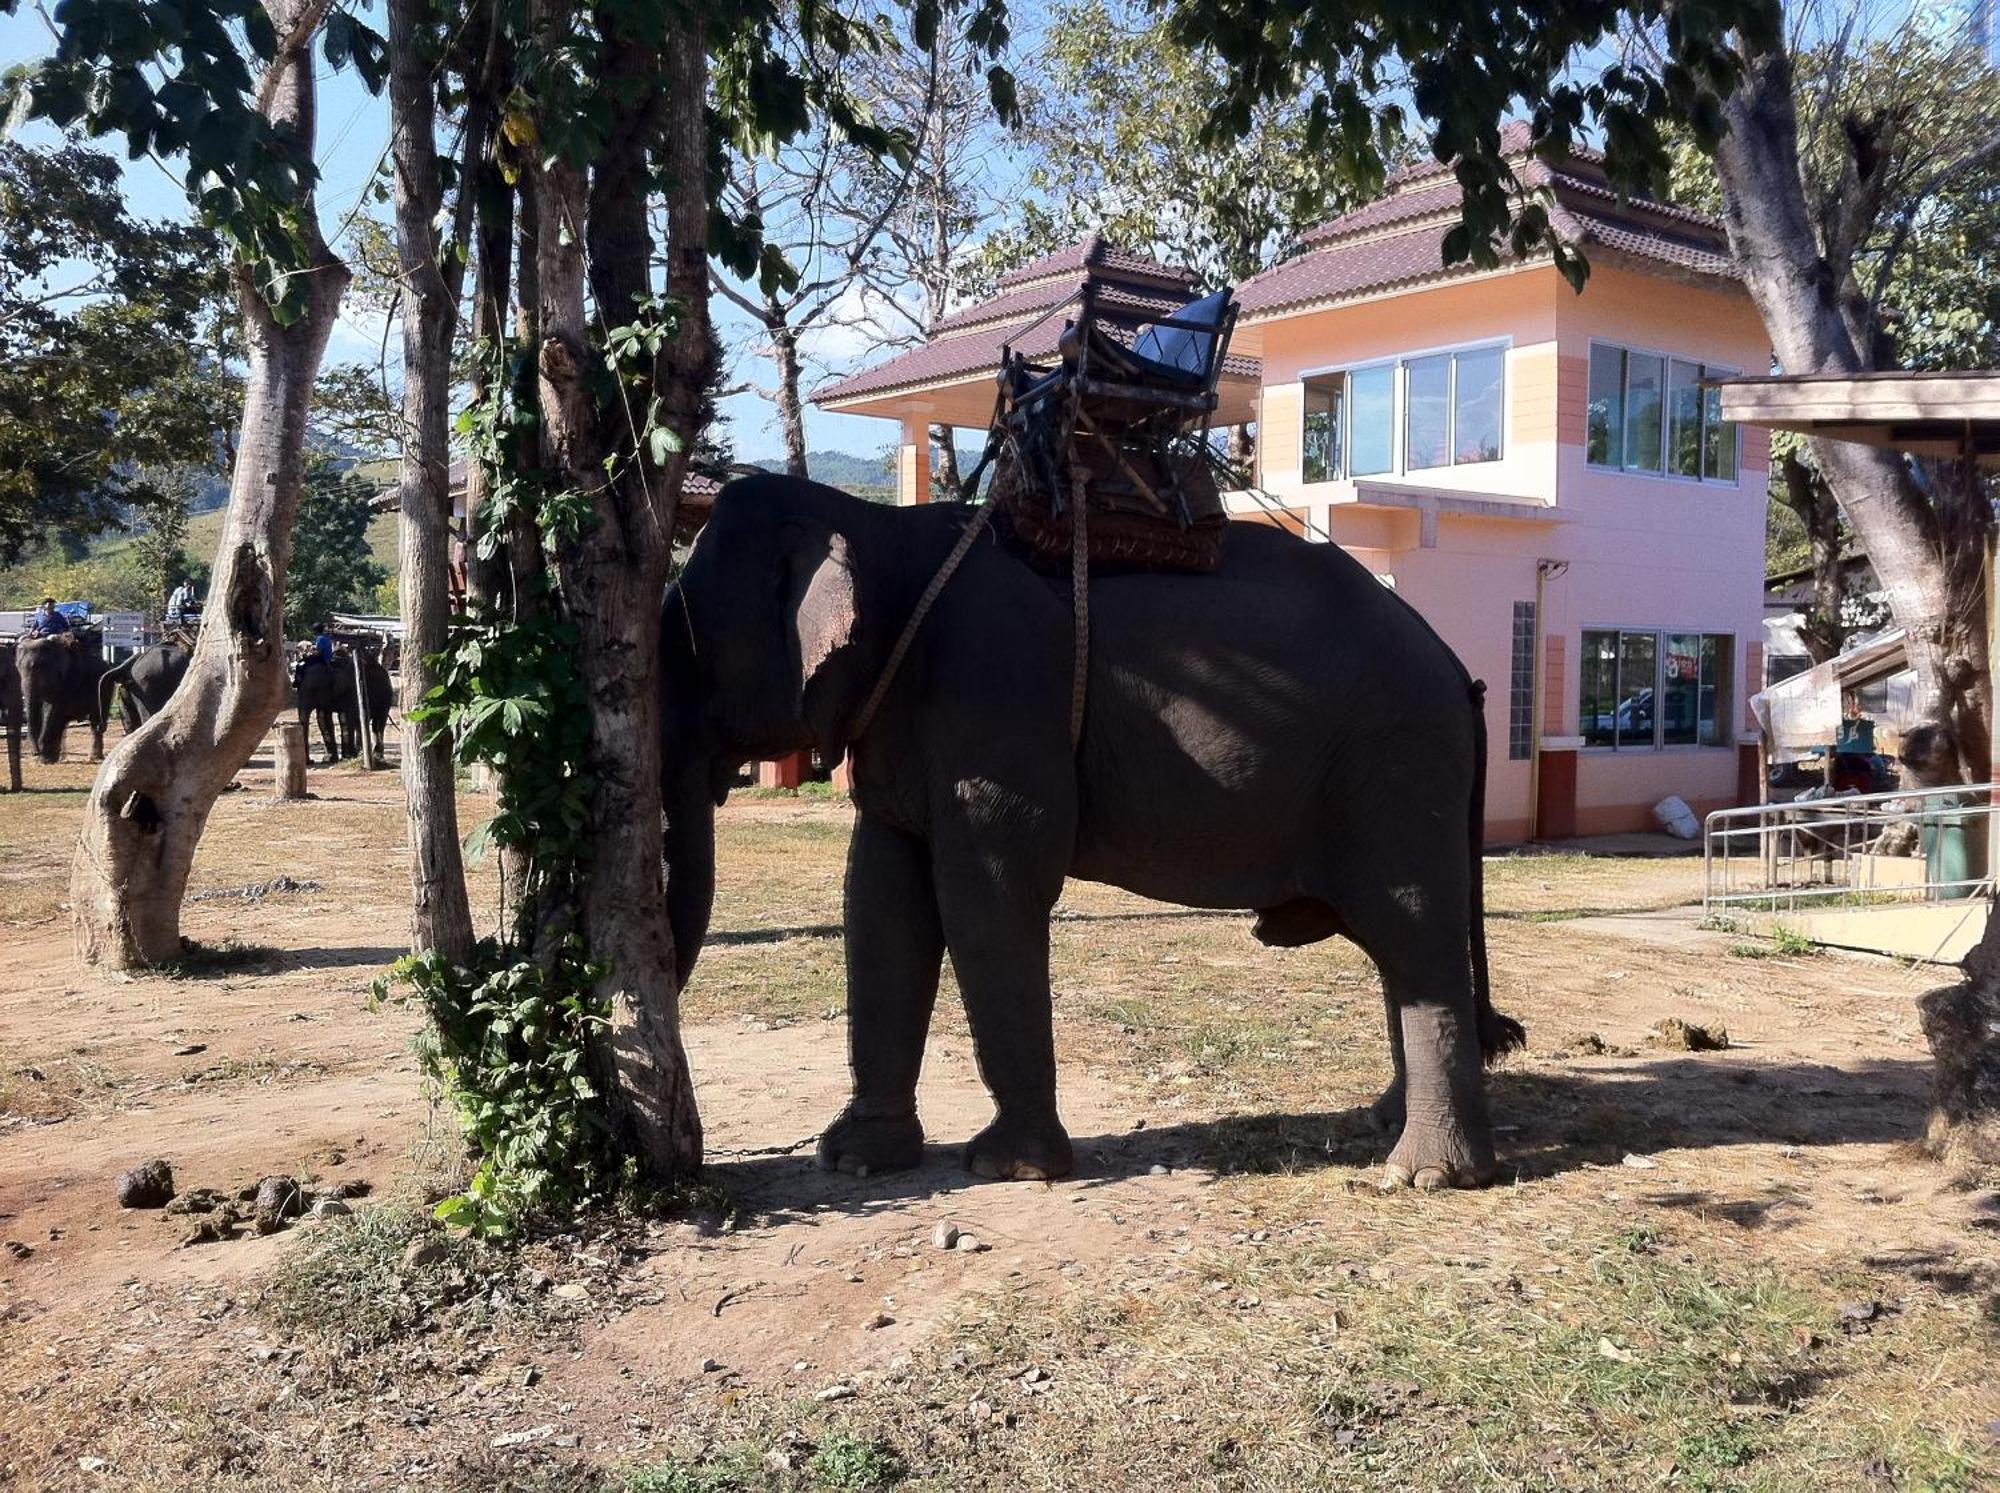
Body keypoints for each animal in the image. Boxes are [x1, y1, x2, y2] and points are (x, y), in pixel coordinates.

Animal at [17, 632, 112, 760]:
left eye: (39, 666)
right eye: (18, 668)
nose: (35, 753)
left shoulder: (65, 682)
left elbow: (51, 710)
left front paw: (45, 759)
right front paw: (47, 758)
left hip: (105, 687)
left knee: (96, 721)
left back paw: (95, 757)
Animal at [664, 476, 1520, 1184]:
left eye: (689, 643)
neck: (883, 529)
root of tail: (1456, 667)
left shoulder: (999, 690)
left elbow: (986, 893)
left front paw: (1008, 1168)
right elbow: (880, 899)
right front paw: (852, 1160)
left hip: (1399, 767)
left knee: (1414, 931)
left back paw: (1424, 1174)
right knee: (1394, 947)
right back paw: (1384, 1119)